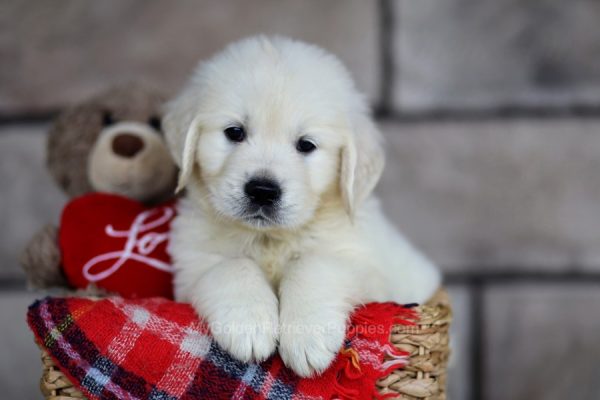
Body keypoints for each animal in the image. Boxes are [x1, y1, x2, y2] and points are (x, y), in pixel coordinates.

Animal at [164, 36, 440, 376]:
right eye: (234, 132)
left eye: (306, 145)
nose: (262, 191)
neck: (270, 238)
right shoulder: (192, 265)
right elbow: (232, 266)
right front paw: (249, 325)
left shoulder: (365, 268)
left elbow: (311, 266)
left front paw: (307, 337)